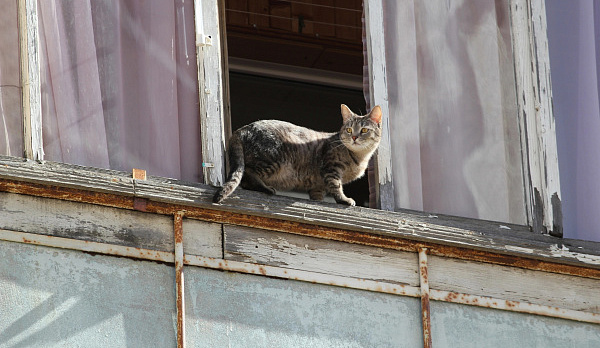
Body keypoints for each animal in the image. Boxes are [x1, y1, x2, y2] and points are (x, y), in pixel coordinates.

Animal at [213, 104, 382, 207]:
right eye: (348, 130)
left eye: (364, 130)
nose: (354, 137)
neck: (359, 157)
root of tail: (241, 129)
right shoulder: (331, 168)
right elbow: (336, 187)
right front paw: (344, 200)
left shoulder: (318, 185)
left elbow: (318, 195)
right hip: (274, 158)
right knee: (247, 173)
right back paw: (266, 188)